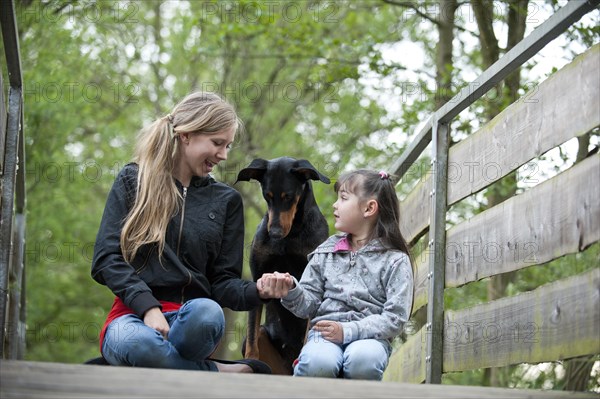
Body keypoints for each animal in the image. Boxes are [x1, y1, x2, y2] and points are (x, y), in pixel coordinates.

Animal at [237, 156, 330, 376]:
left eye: (288, 196)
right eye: (267, 196)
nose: (275, 233)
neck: (291, 235)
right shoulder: (258, 278)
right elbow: (252, 337)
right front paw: (250, 362)